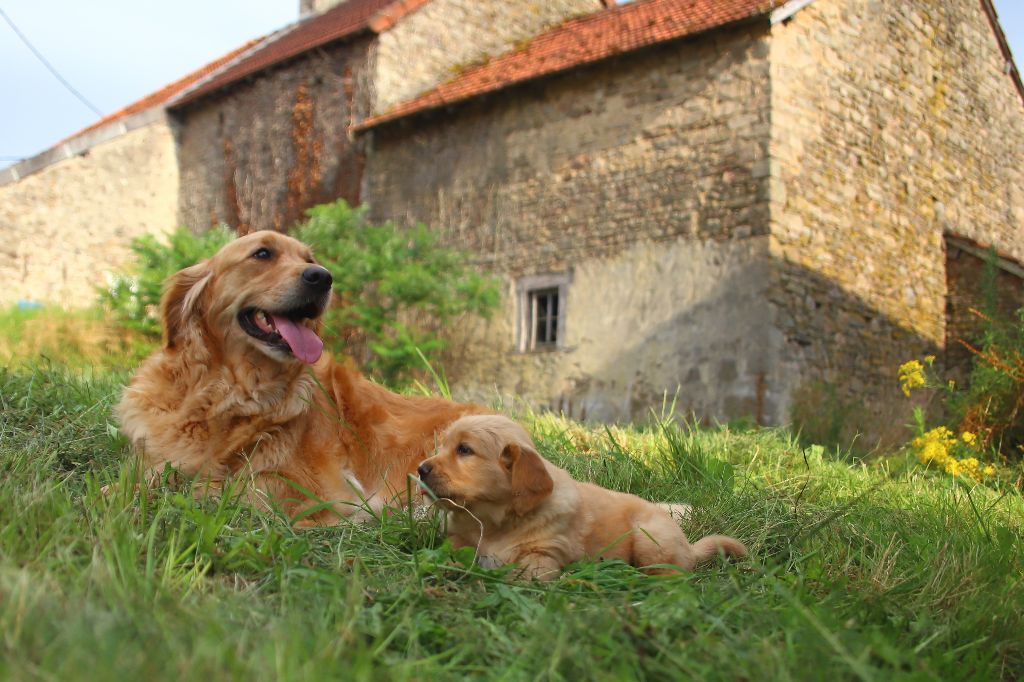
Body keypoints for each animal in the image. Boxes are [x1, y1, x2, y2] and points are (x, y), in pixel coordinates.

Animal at [114, 231, 481, 522]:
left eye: (310, 259)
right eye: (262, 253)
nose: (323, 277)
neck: (229, 396)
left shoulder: (316, 488)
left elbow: (228, 486)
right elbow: (138, 480)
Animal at [413, 411, 745, 577]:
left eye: (464, 450)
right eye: (443, 446)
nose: (420, 469)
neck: (495, 521)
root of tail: (689, 547)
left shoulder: (546, 554)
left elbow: (522, 573)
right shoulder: (459, 536)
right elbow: (453, 548)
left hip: (650, 539)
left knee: (674, 574)